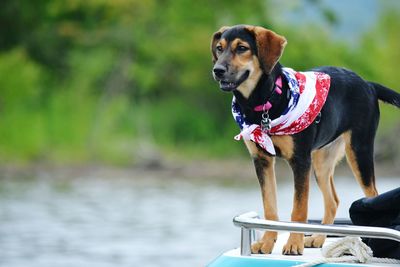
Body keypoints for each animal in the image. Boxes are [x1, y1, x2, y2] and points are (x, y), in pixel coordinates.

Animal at [211, 24, 398, 255]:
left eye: (242, 48)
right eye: (219, 48)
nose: (217, 70)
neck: (264, 102)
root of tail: (368, 84)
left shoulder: (300, 161)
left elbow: (299, 209)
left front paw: (293, 244)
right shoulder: (262, 160)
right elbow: (270, 207)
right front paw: (267, 243)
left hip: (358, 151)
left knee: (372, 195)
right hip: (322, 161)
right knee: (333, 201)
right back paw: (318, 238)